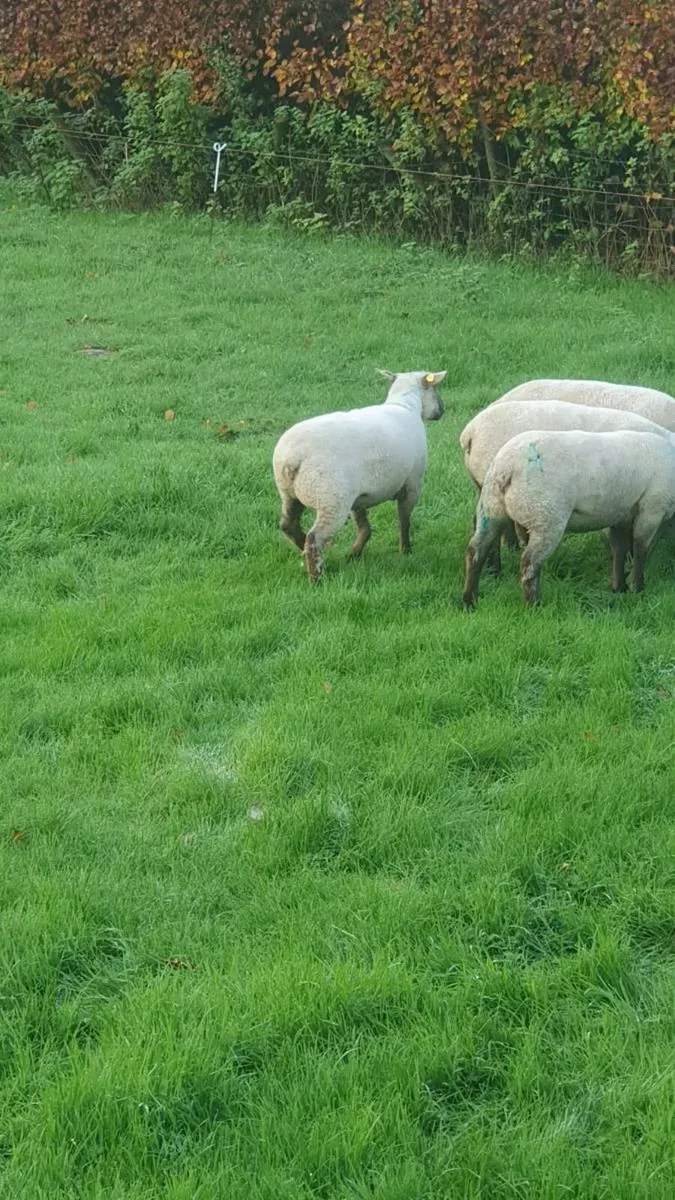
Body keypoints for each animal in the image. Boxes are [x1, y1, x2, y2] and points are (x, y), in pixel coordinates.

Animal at [273, 370, 446, 582]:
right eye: (435, 389)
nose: (442, 410)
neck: (405, 405)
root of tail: (291, 459)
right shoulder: (413, 483)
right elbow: (404, 520)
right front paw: (405, 550)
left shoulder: (359, 496)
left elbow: (364, 526)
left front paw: (354, 553)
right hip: (332, 499)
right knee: (315, 538)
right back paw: (316, 578)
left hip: (290, 493)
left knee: (288, 525)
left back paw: (303, 548)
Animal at [462, 428, 675, 608]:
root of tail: (507, 467)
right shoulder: (652, 508)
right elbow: (640, 549)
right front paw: (637, 587)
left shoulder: (618, 514)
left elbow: (619, 549)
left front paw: (618, 587)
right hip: (546, 517)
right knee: (529, 563)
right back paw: (534, 606)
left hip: (491, 509)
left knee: (475, 551)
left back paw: (469, 601)